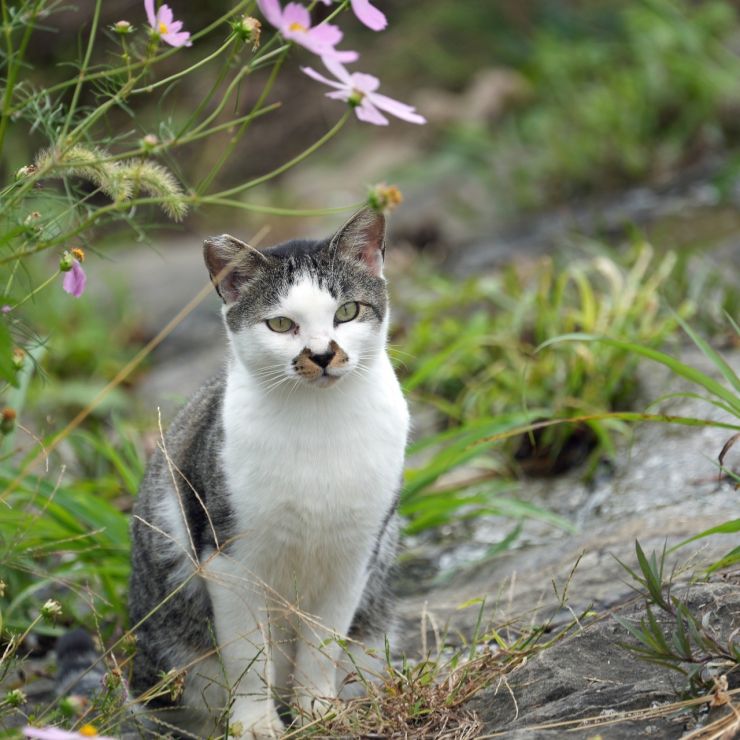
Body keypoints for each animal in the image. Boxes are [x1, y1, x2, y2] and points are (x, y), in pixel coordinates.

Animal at [124, 210, 408, 740]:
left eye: (347, 311)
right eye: (280, 323)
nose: (322, 354)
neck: (319, 427)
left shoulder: (355, 556)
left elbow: (321, 643)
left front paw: (318, 710)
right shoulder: (228, 556)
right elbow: (248, 652)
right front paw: (257, 723)